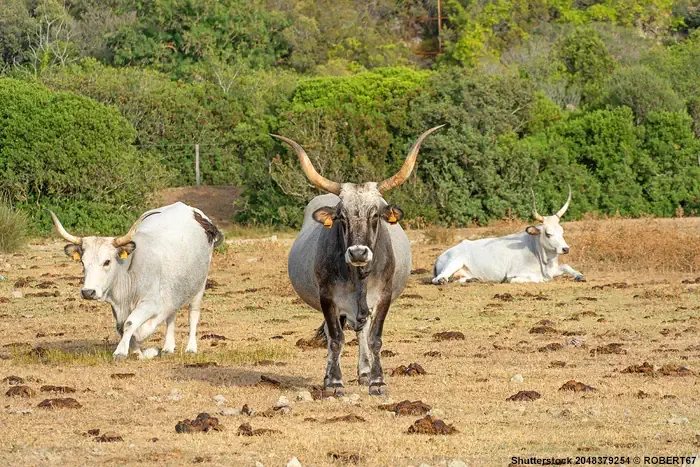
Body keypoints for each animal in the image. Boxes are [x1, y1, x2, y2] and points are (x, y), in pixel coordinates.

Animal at [47, 203, 223, 360]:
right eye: (83, 263)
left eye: (107, 262)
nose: (88, 292)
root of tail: (197, 214)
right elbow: (122, 327)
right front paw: (138, 352)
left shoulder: (151, 304)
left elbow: (131, 324)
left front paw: (122, 352)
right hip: (176, 289)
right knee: (171, 315)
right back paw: (167, 347)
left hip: (199, 285)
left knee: (193, 313)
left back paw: (191, 348)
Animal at [274, 125, 442, 394]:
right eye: (341, 217)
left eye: (375, 215)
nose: (358, 253)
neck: (358, 276)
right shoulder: (327, 298)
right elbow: (335, 339)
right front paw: (334, 382)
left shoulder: (383, 298)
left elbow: (375, 338)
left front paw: (377, 380)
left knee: (362, 331)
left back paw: (364, 371)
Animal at [432, 186, 584, 286]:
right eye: (548, 234)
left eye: (562, 231)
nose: (565, 249)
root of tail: (441, 255)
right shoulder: (515, 275)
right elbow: (536, 278)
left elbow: (566, 266)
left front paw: (580, 276)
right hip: (455, 261)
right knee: (438, 278)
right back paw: (442, 280)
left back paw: (472, 279)